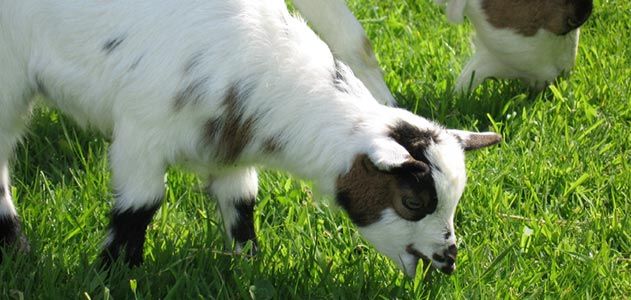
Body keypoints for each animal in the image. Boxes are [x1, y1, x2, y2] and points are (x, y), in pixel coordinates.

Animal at [1, 0, 504, 276]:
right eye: (412, 202)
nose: (449, 259)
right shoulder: (141, 134)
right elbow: (139, 207)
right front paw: (114, 273)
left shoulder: (230, 155)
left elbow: (242, 205)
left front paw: (249, 263)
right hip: (10, 81)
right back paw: (16, 246)